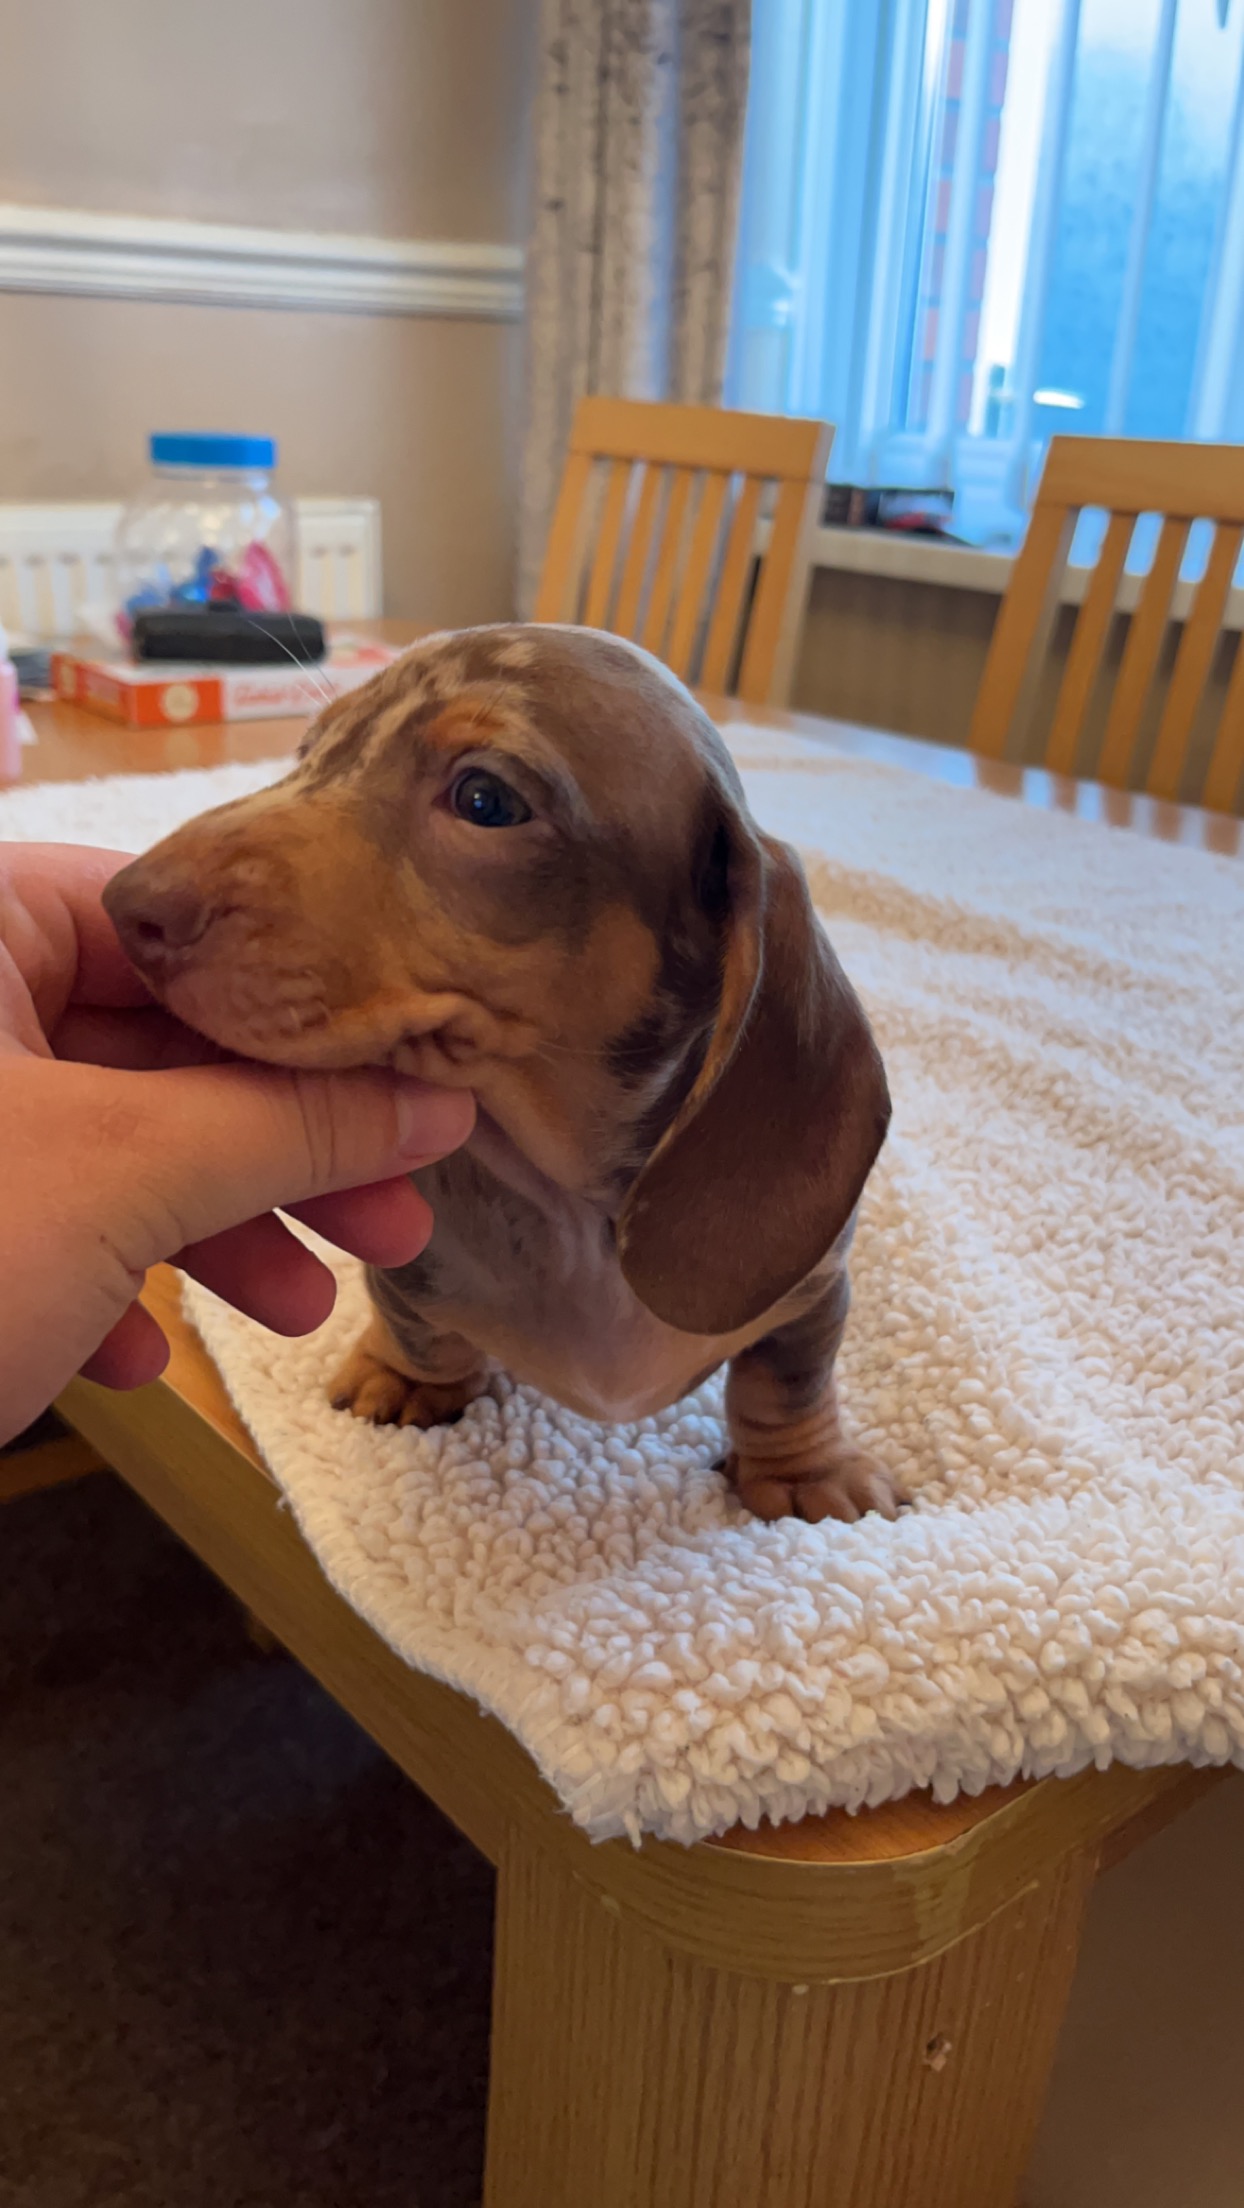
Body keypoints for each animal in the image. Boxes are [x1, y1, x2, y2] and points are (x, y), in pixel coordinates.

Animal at [104, 622, 897, 1519]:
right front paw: (408, 1376)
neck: (577, 1212)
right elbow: (412, 1318)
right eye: (309, 753)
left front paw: (804, 1474)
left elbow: (787, 1382)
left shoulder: (813, 1290)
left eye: (484, 799)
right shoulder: (410, 1267)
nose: (125, 905)